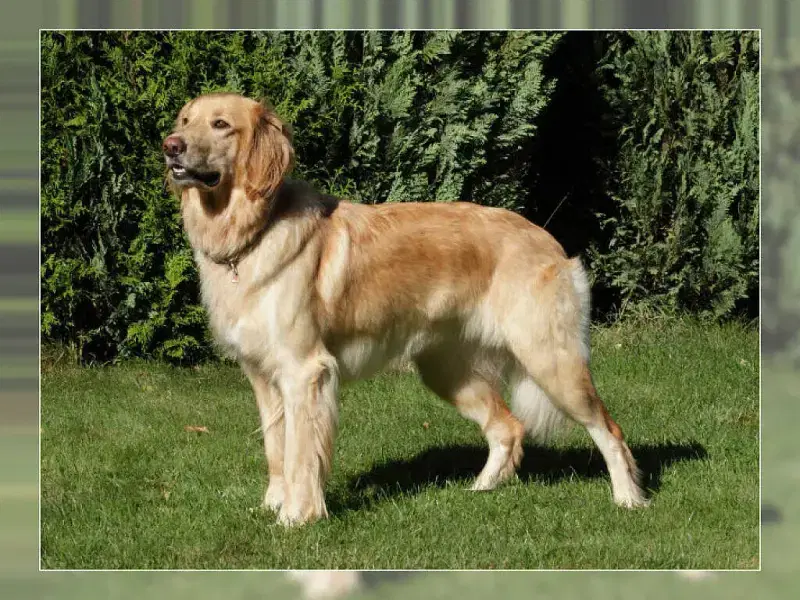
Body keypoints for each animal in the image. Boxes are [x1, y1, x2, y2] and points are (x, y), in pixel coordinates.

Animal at [163, 92, 649, 527]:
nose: (171, 146)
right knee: (507, 427)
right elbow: (276, 450)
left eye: (221, 124)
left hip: (551, 359)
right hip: (448, 371)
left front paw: (297, 517)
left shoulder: (304, 372)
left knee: (610, 432)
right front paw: (273, 506)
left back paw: (629, 499)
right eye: (185, 120)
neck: (253, 232)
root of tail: (548, 239)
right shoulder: (263, 377)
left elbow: (301, 455)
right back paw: (481, 489)